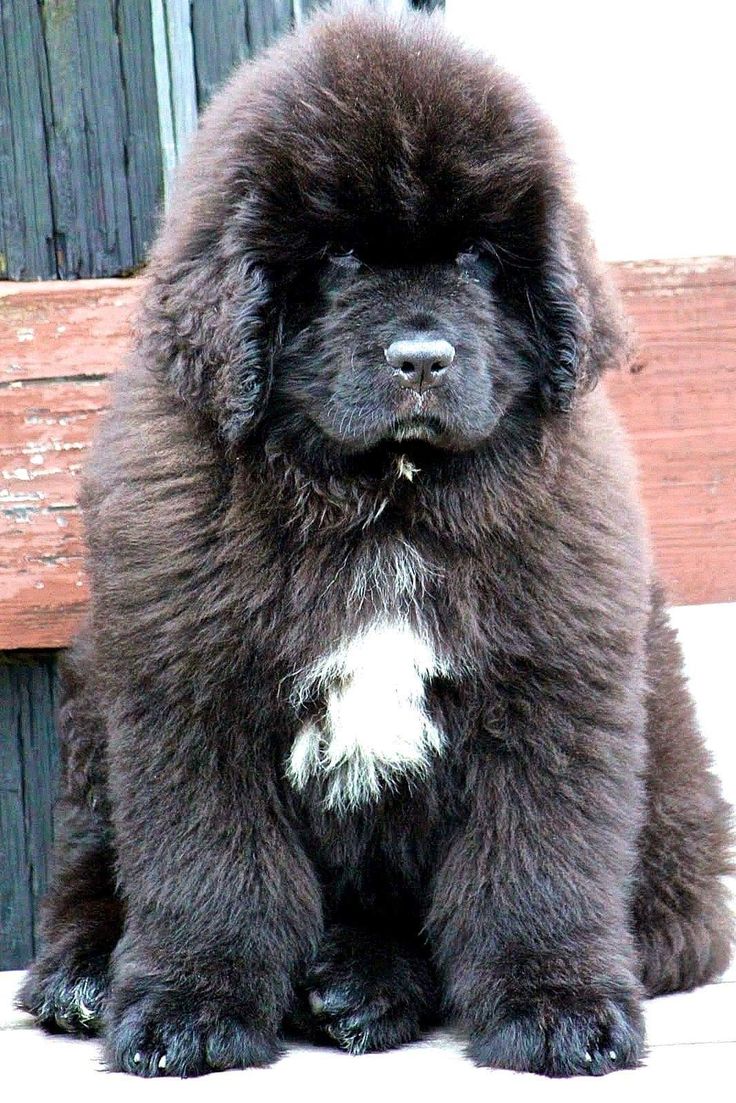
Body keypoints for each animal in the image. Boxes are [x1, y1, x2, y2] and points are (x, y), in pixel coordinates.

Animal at [20, 4, 732, 1080]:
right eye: (343, 258)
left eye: (479, 256)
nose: (423, 357)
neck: (386, 501)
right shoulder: (189, 688)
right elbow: (210, 864)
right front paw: (190, 1006)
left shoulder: (550, 690)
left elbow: (537, 864)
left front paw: (555, 1005)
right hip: (98, 677)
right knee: (92, 867)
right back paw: (87, 972)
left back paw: (360, 984)